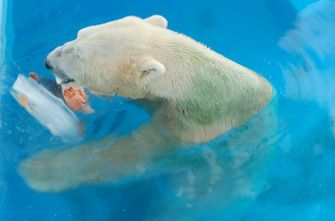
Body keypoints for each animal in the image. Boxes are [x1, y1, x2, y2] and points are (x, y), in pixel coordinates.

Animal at [19, 15, 276, 198]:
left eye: (80, 55)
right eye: (79, 34)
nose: (48, 61)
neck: (198, 85)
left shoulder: (191, 129)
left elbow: (130, 153)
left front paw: (39, 169)